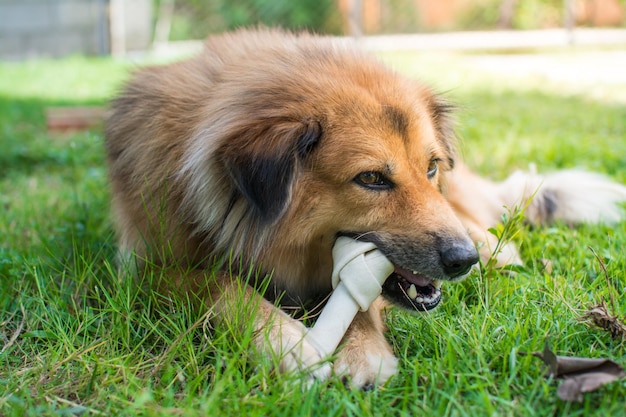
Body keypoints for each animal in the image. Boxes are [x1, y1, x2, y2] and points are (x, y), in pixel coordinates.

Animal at [103, 28, 624, 386]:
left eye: (430, 167)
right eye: (372, 179)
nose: (462, 261)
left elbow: (357, 300)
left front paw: (361, 351)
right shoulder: (144, 272)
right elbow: (215, 284)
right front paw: (286, 343)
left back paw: (499, 252)